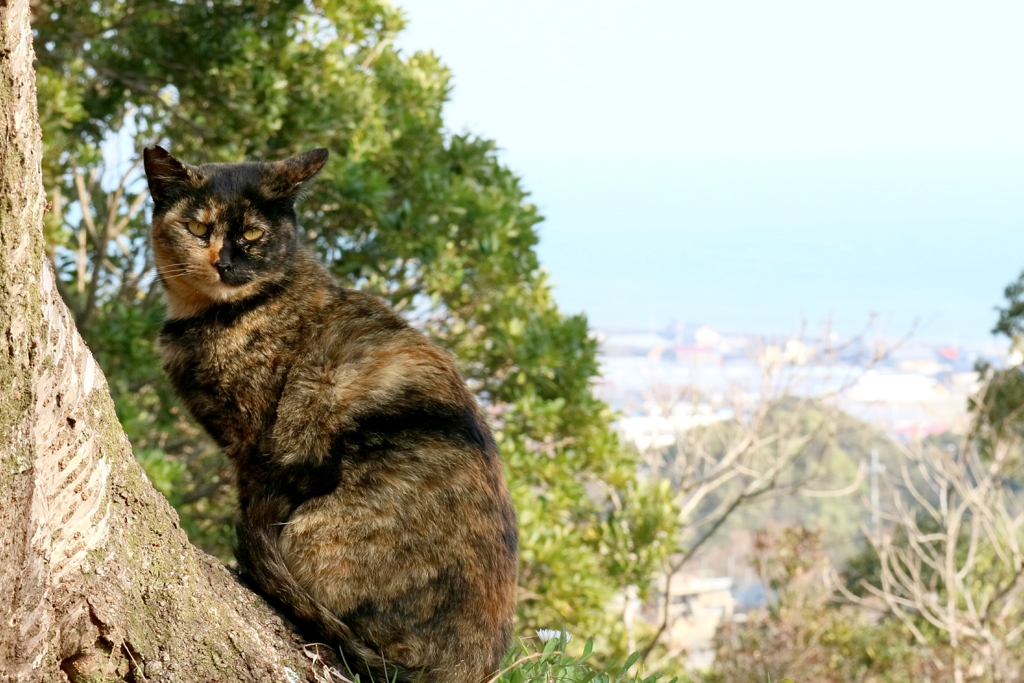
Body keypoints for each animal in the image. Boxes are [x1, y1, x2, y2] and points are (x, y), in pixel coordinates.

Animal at [144, 145, 520, 683]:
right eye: (198, 228)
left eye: (252, 234)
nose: (226, 263)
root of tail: (468, 667)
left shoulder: (257, 445)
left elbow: (252, 500)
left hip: (312, 527)